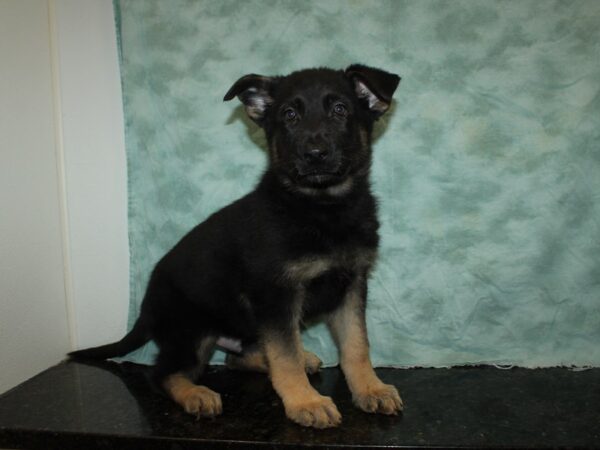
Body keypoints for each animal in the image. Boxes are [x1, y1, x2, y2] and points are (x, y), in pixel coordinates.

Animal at [70, 64, 404, 428]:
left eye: (341, 110)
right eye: (289, 115)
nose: (314, 154)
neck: (322, 206)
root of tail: (144, 311)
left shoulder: (352, 286)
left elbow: (356, 346)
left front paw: (371, 389)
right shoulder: (276, 296)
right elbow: (285, 355)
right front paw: (305, 401)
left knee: (237, 358)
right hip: (192, 332)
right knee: (162, 374)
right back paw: (196, 394)